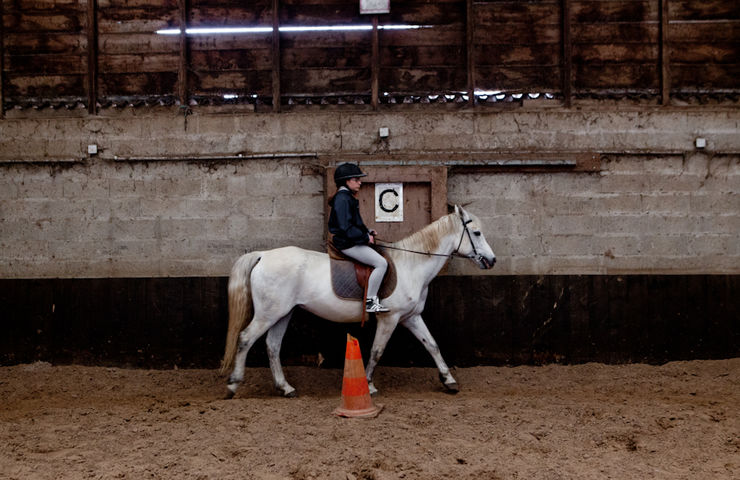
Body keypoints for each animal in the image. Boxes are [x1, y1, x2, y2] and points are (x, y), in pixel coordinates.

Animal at [223, 206, 494, 398]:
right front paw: (370, 385)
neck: (411, 265)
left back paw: (285, 388)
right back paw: (233, 385)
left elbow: (433, 345)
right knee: (245, 339)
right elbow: (376, 351)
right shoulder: (390, 318)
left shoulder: (411, 317)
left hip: (282, 313)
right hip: (268, 314)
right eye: (477, 233)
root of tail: (263, 255)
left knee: (273, 346)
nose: (491, 260)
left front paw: (449, 381)